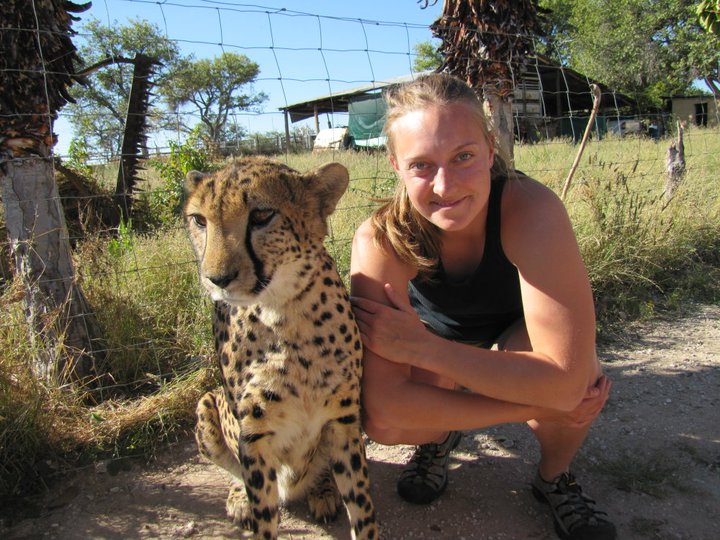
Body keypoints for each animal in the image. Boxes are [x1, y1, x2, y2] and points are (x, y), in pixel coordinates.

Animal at [184, 157, 376, 540]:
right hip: (207, 402)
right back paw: (239, 499)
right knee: (234, 472)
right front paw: (250, 505)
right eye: (199, 220)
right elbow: (263, 516)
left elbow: (362, 508)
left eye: (261, 215)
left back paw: (323, 491)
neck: (283, 312)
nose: (216, 279)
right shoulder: (253, 436)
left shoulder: (344, 420)